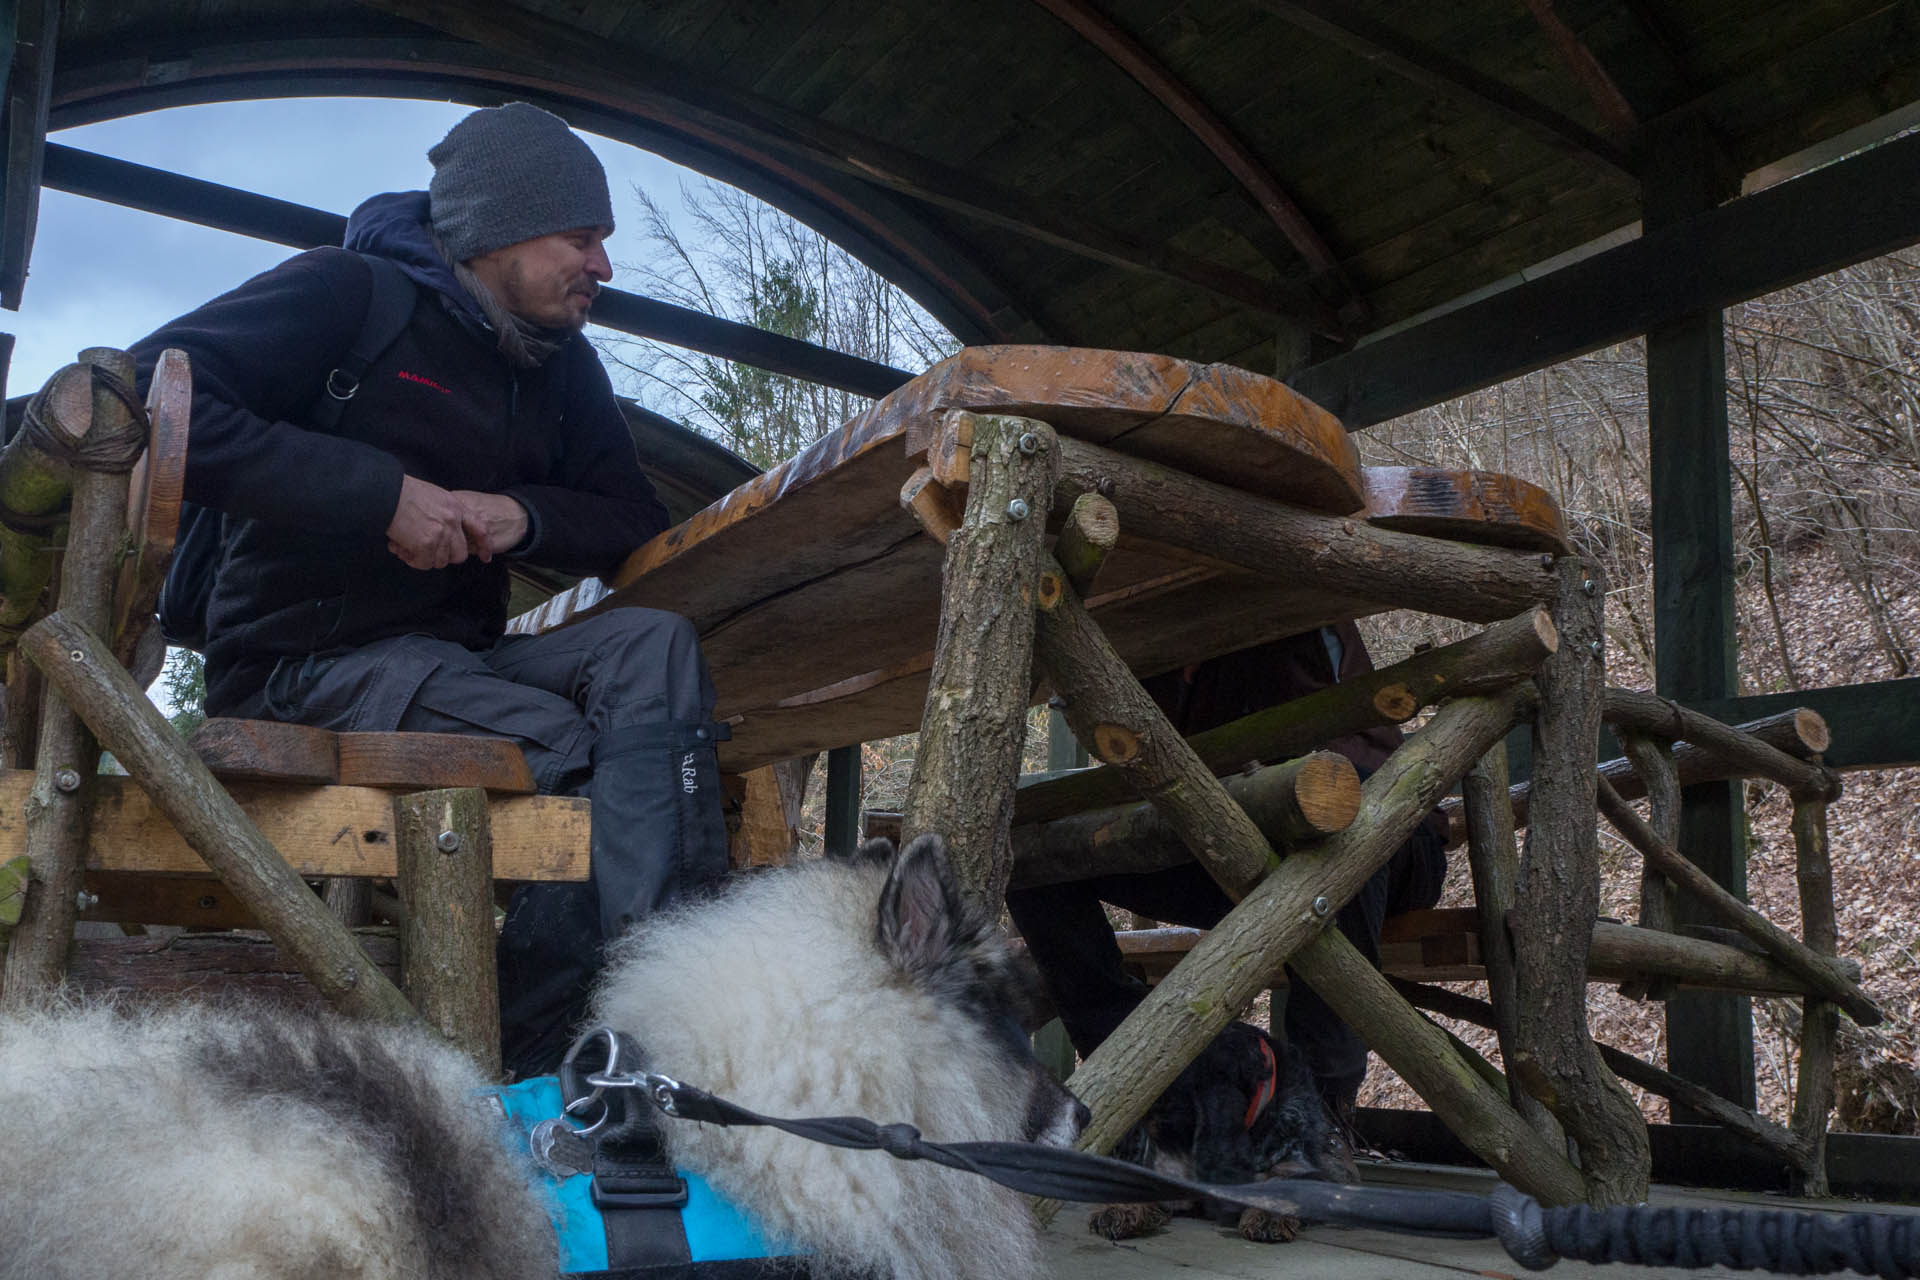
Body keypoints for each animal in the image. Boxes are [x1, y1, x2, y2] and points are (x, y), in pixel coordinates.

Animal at [1090, 1020, 1359, 1243]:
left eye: (1166, 1112)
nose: (1127, 1143)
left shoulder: (1300, 1166)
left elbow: (1285, 1183)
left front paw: (1268, 1217)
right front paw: (1119, 1209)